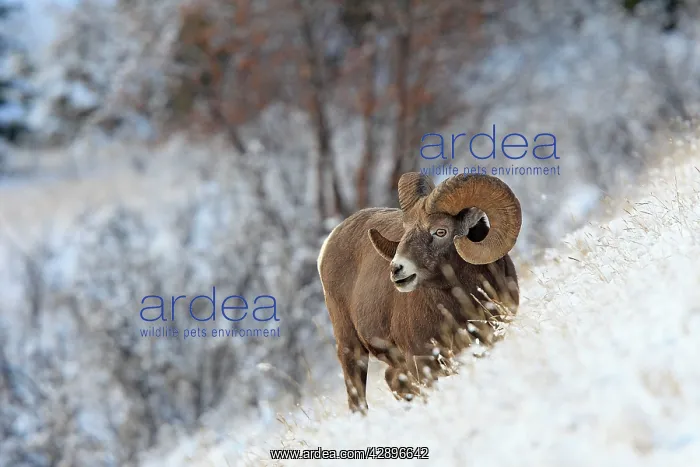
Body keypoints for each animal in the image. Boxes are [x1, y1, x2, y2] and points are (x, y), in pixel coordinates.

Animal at [317, 172, 522, 413]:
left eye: (440, 231)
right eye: (406, 231)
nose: (396, 269)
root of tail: (328, 243)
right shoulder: (421, 363)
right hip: (351, 349)